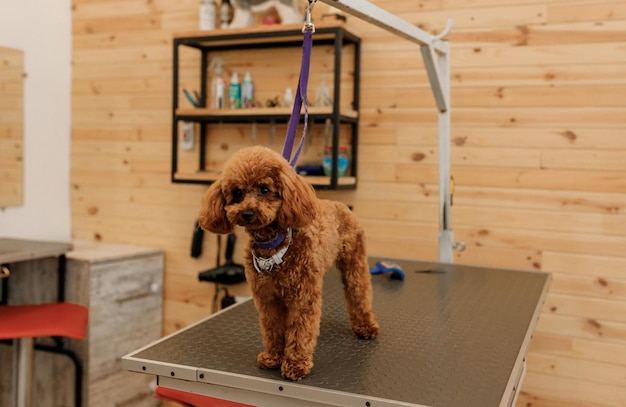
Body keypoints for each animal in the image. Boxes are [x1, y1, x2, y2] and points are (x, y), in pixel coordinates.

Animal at [197, 146, 378, 380]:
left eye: (265, 189)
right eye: (237, 193)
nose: (247, 213)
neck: (273, 246)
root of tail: (340, 205)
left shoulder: (303, 297)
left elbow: (300, 331)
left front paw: (295, 364)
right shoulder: (267, 298)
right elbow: (273, 328)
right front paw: (273, 357)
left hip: (354, 263)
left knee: (359, 293)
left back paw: (366, 326)